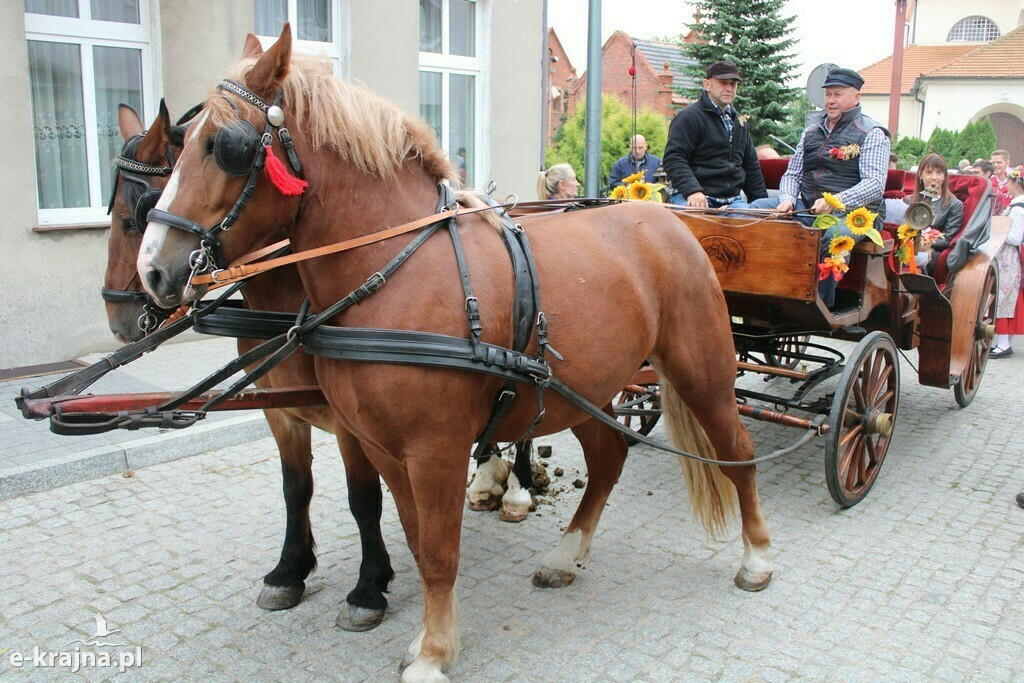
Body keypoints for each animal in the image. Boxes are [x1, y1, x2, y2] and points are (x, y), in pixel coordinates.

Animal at [103, 82, 391, 626]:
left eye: (135, 216)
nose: (118, 319)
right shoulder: (281, 414)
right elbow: (295, 488)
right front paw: (289, 570)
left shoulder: (350, 423)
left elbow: (363, 497)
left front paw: (370, 586)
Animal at [138, 25, 774, 679]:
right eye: (185, 141)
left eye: (223, 146)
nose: (153, 269)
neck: (394, 272)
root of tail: (666, 217)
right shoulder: (380, 446)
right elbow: (418, 541)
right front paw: (428, 634)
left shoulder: (434, 449)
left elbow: (441, 551)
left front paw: (435, 652)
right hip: (586, 391)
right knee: (608, 459)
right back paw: (566, 555)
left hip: (702, 372)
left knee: (738, 453)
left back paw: (755, 558)